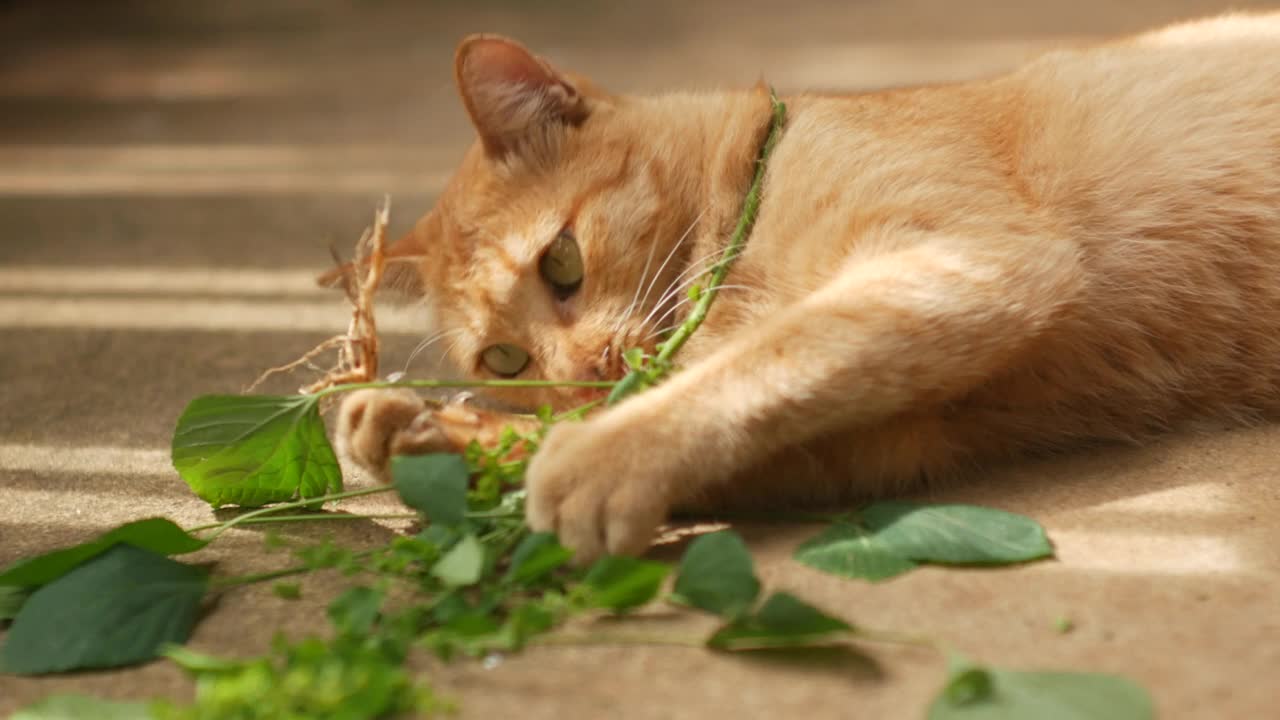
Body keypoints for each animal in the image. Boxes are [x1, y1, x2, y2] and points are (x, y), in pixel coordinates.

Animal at [337, 12, 1280, 561]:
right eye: (505, 361)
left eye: (561, 264)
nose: (579, 373)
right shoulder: (877, 442)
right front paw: (428, 432)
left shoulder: (962, 263)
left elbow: (745, 368)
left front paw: (601, 454)